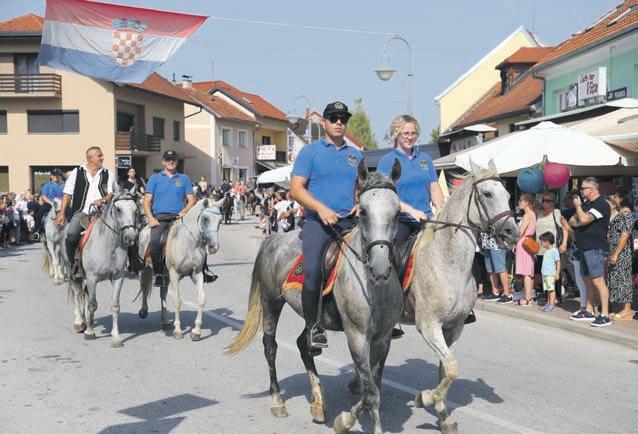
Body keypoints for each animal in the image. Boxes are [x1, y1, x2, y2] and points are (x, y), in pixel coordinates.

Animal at [67, 189, 139, 347]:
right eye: (118, 210)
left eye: (135, 210)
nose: (131, 237)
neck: (108, 245)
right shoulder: (92, 278)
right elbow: (92, 304)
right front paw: (90, 332)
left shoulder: (118, 277)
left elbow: (115, 306)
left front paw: (116, 337)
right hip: (76, 276)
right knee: (77, 293)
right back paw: (79, 322)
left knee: (84, 294)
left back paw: (86, 321)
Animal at [137, 197, 225, 340]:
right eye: (205, 219)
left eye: (220, 220)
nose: (213, 247)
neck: (189, 242)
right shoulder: (174, 273)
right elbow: (177, 301)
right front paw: (178, 331)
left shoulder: (197, 274)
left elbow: (202, 299)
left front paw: (196, 331)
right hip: (147, 269)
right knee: (145, 287)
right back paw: (144, 311)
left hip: (165, 275)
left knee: (163, 293)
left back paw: (165, 320)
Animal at [226, 160, 403, 434]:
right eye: (363, 212)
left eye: (397, 212)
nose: (380, 268)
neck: (374, 289)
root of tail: (274, 238)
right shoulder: (357, 337)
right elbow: (371, 392)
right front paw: (347, 422)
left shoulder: (383, 339)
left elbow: (373, 387)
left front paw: (346, 418)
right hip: (271, 302)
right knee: (270, 346)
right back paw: (277, 400)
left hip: (312, 318)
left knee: (304, 344)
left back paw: (318, 402)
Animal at [388, 160, 518, 434]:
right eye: (487, 194)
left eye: (508, 194)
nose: (512, 232)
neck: (447, 260)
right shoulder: (428, 325)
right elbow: (451, 367)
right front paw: (425, 397)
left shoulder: (454, 327)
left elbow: (446, 369)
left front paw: (443, 414)